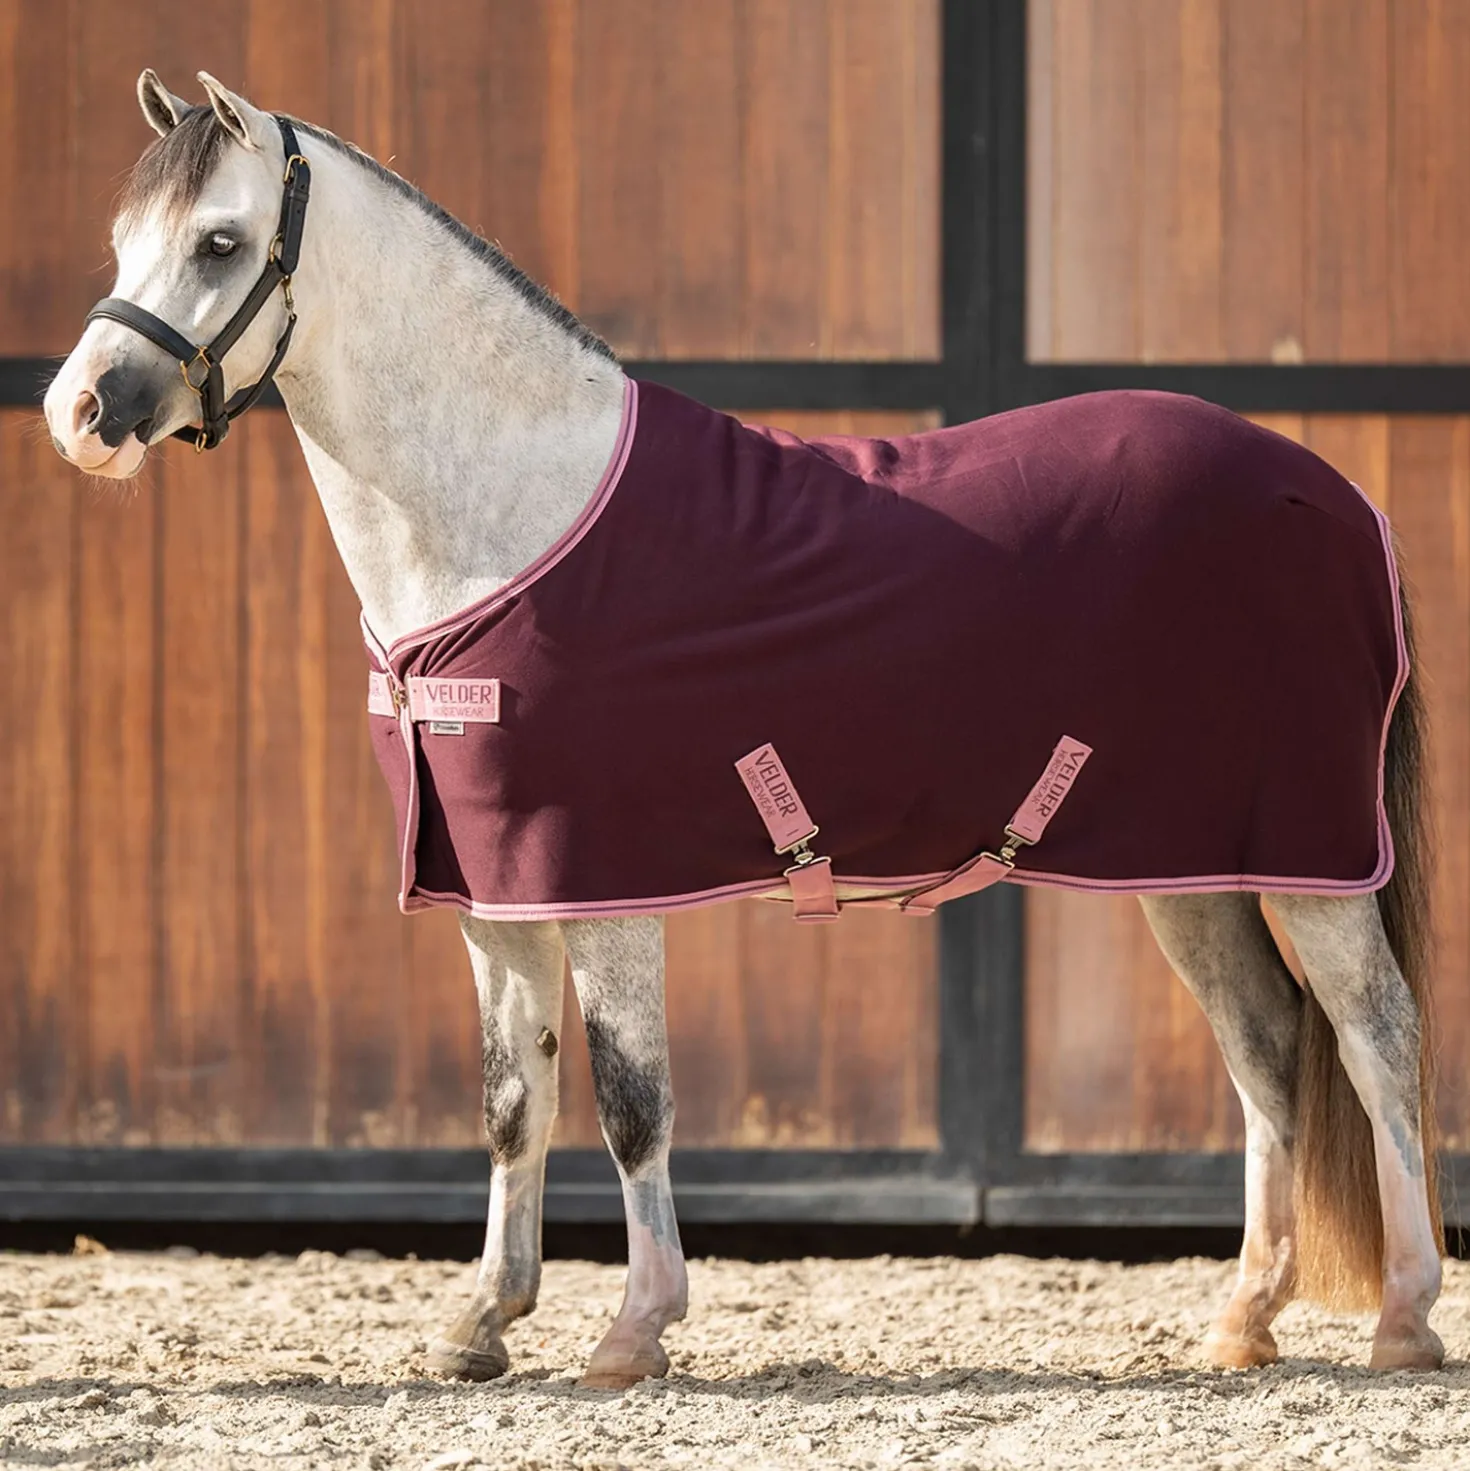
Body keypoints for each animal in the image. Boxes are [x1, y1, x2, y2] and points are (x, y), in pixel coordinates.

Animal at [44, 71, 1444, 1387]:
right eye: (119, 239)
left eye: (220, 242)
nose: (79, 416)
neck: (515, 516)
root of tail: (1338, 495)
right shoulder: (494, 891)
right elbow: (511, 1098)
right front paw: (482, 1322)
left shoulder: (603, 884)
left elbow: (630, 1101)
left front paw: (633, 1332)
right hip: (1189, 868)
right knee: (1267, 1048)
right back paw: (1243, 1319)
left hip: (1311, 858)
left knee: (1376, 1035)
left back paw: (1405, 1319)